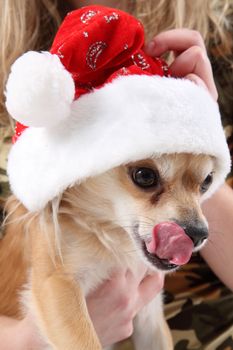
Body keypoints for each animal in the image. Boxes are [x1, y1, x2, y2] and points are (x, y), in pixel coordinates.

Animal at [0, 152, 215, 350]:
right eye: (145, 176)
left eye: (207, 181)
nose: (198, 234)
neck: (113, 236)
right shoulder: (57, 284)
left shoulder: (149, 315)